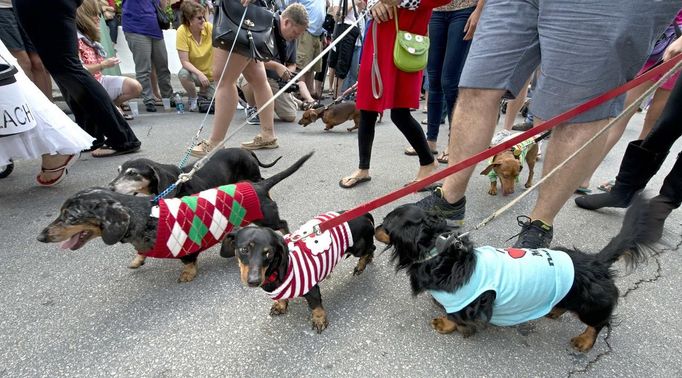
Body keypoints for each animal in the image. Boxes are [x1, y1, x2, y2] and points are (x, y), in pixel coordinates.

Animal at [227, 211, 378, 332]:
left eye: (268, 253)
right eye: (244, 249)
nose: (254, 281)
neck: (276, 272)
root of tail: (362, 215)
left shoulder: (311, 289)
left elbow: (316, 306)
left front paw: (319, 320)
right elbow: (282, 298)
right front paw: (281, 305)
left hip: (359, 248)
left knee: (372, 248)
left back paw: (362, 264)